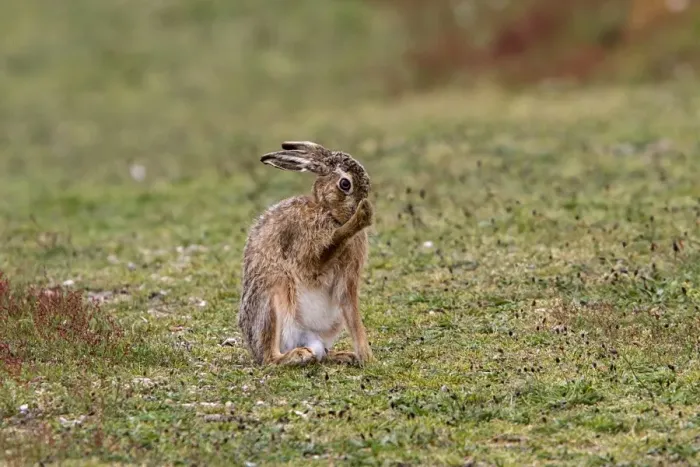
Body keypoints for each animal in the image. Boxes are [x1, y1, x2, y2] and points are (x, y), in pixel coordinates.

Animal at [238, 141, 375, 366]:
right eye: (345, 184)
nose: (362, 204)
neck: (329, 212)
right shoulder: (304, 247)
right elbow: (327, 248)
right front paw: (362, 216)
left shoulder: (347, 283)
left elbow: (354, 318)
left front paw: (367, 357)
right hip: (272, 297)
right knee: (269, 358)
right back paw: (297, 355)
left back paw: (342, 355)